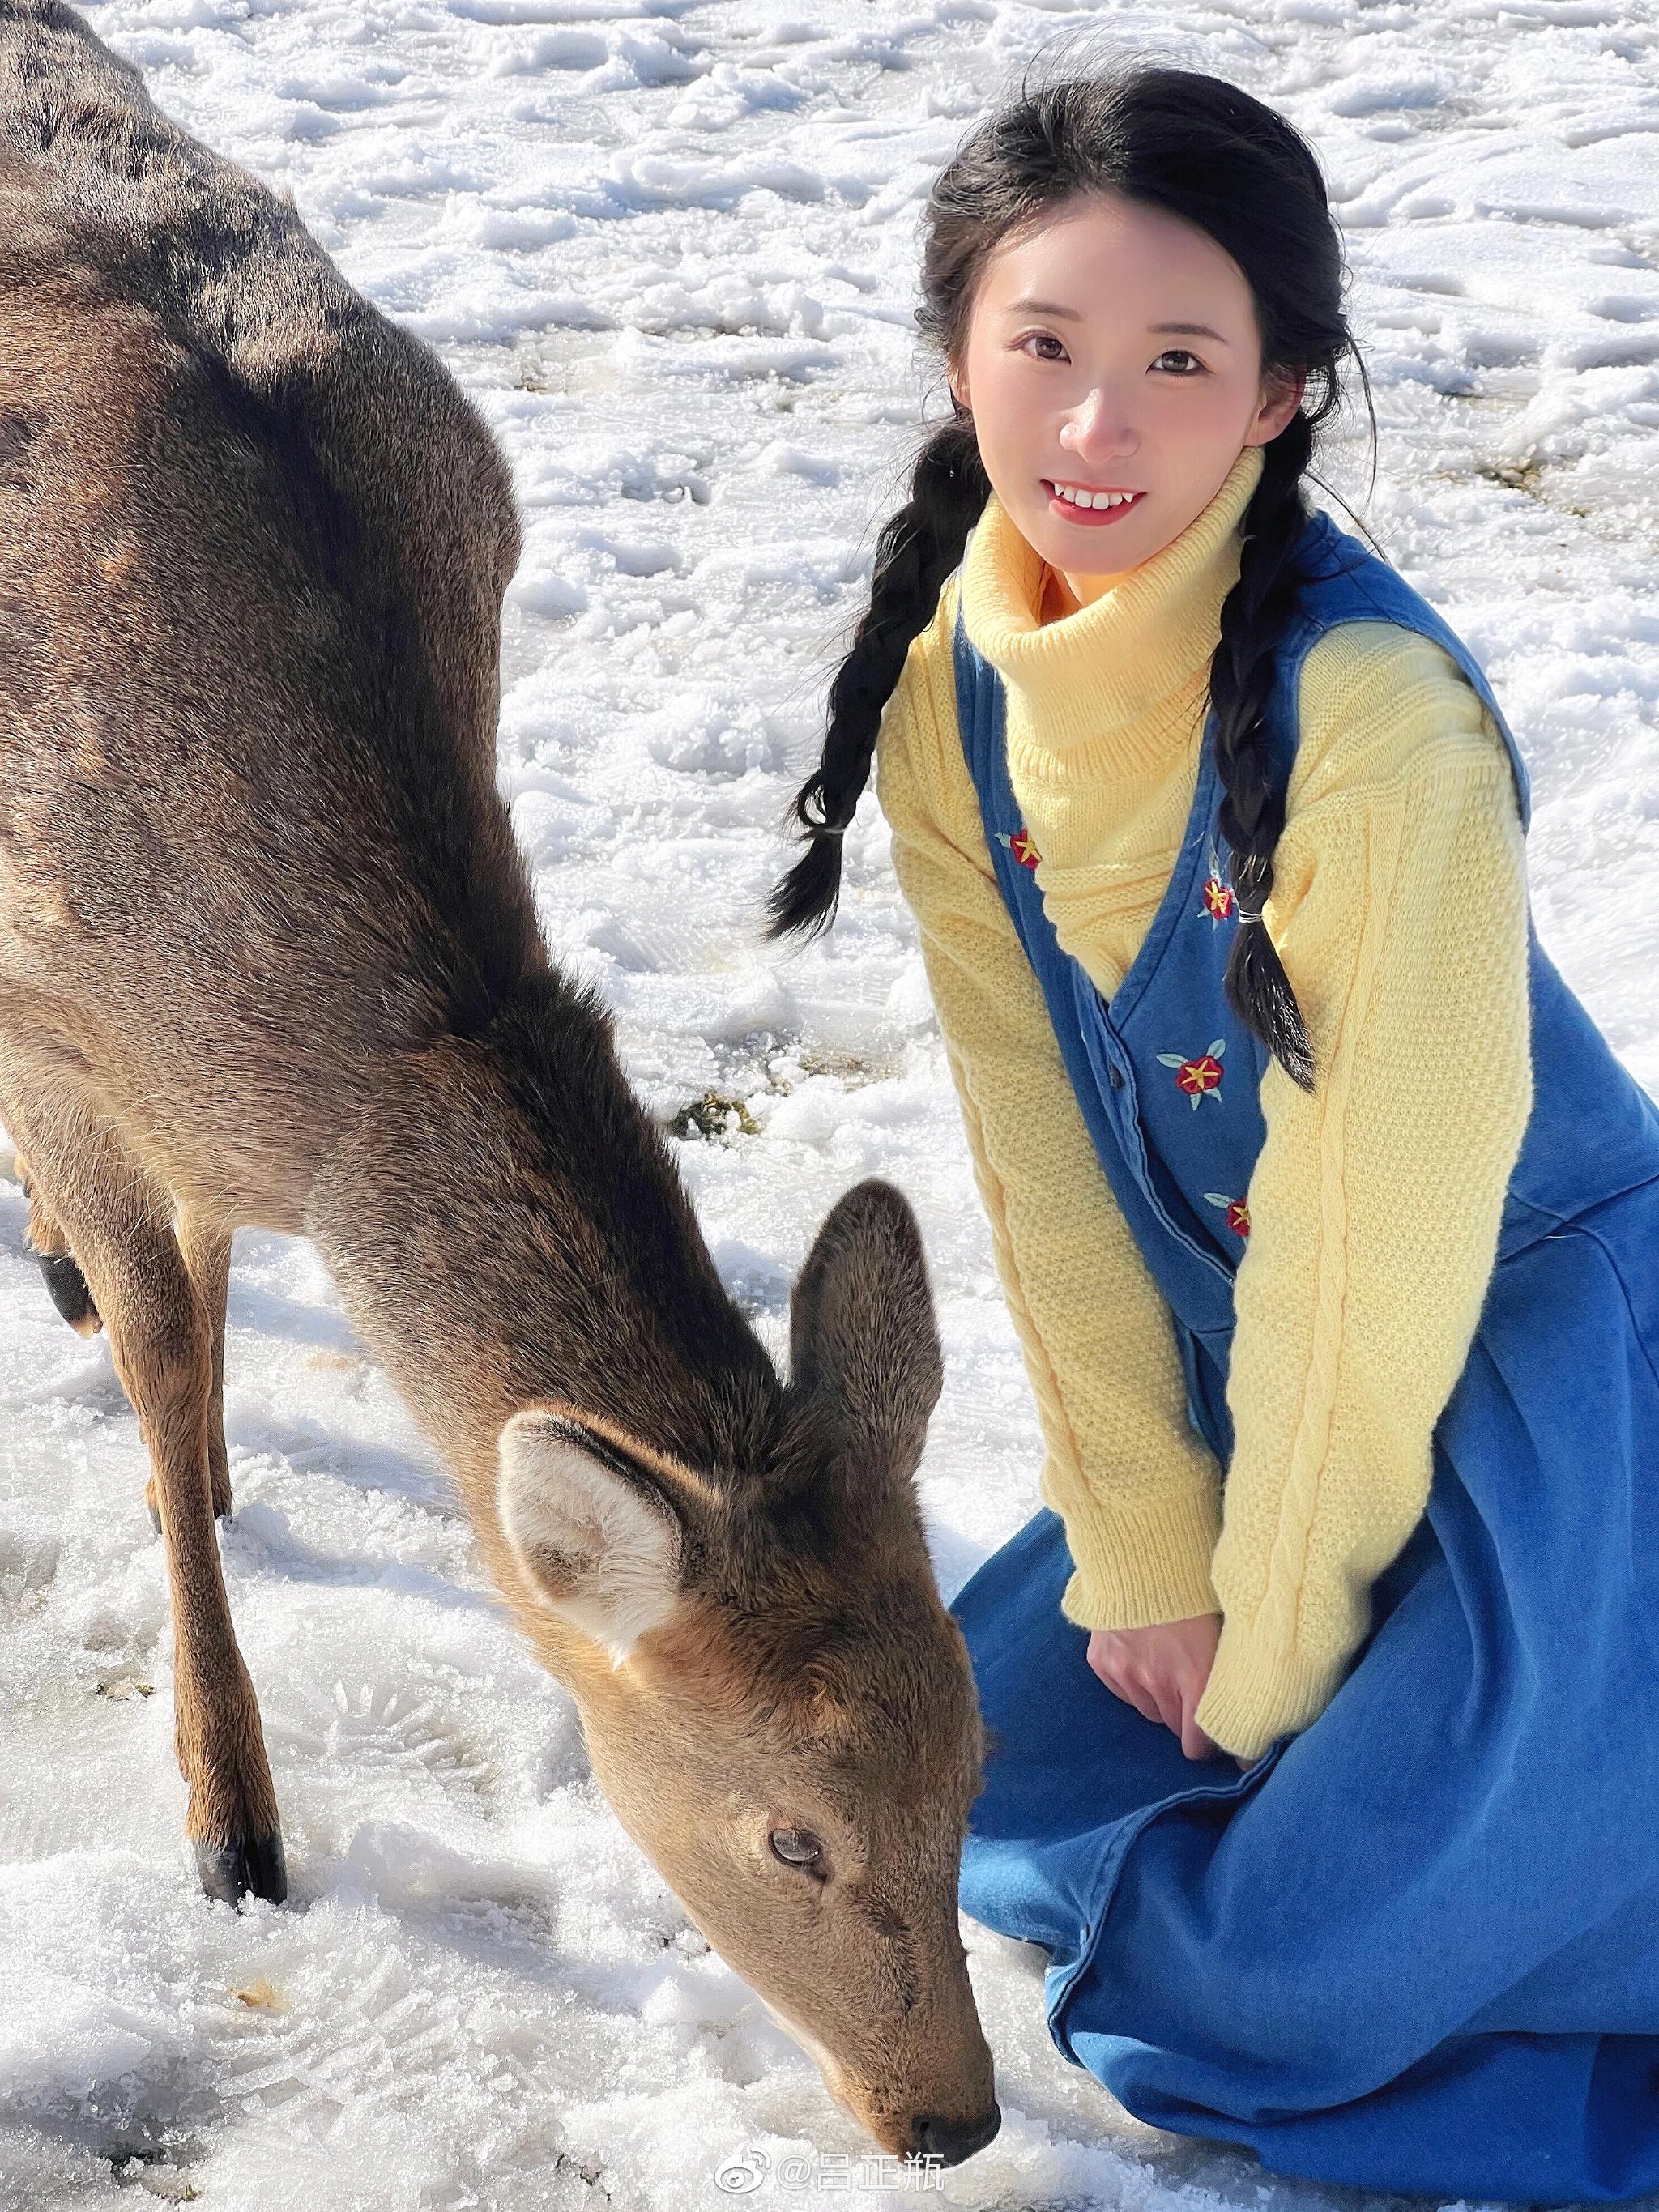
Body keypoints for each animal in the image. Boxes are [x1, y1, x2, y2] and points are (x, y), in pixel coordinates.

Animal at [0, 0, 1001, 2168]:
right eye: (791, 1835)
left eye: (975, 1768)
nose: (949, 2120)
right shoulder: (36, 1011)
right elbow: (160, 1359)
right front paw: (234, 1833)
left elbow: (195, 1314)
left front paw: (217, 1459)